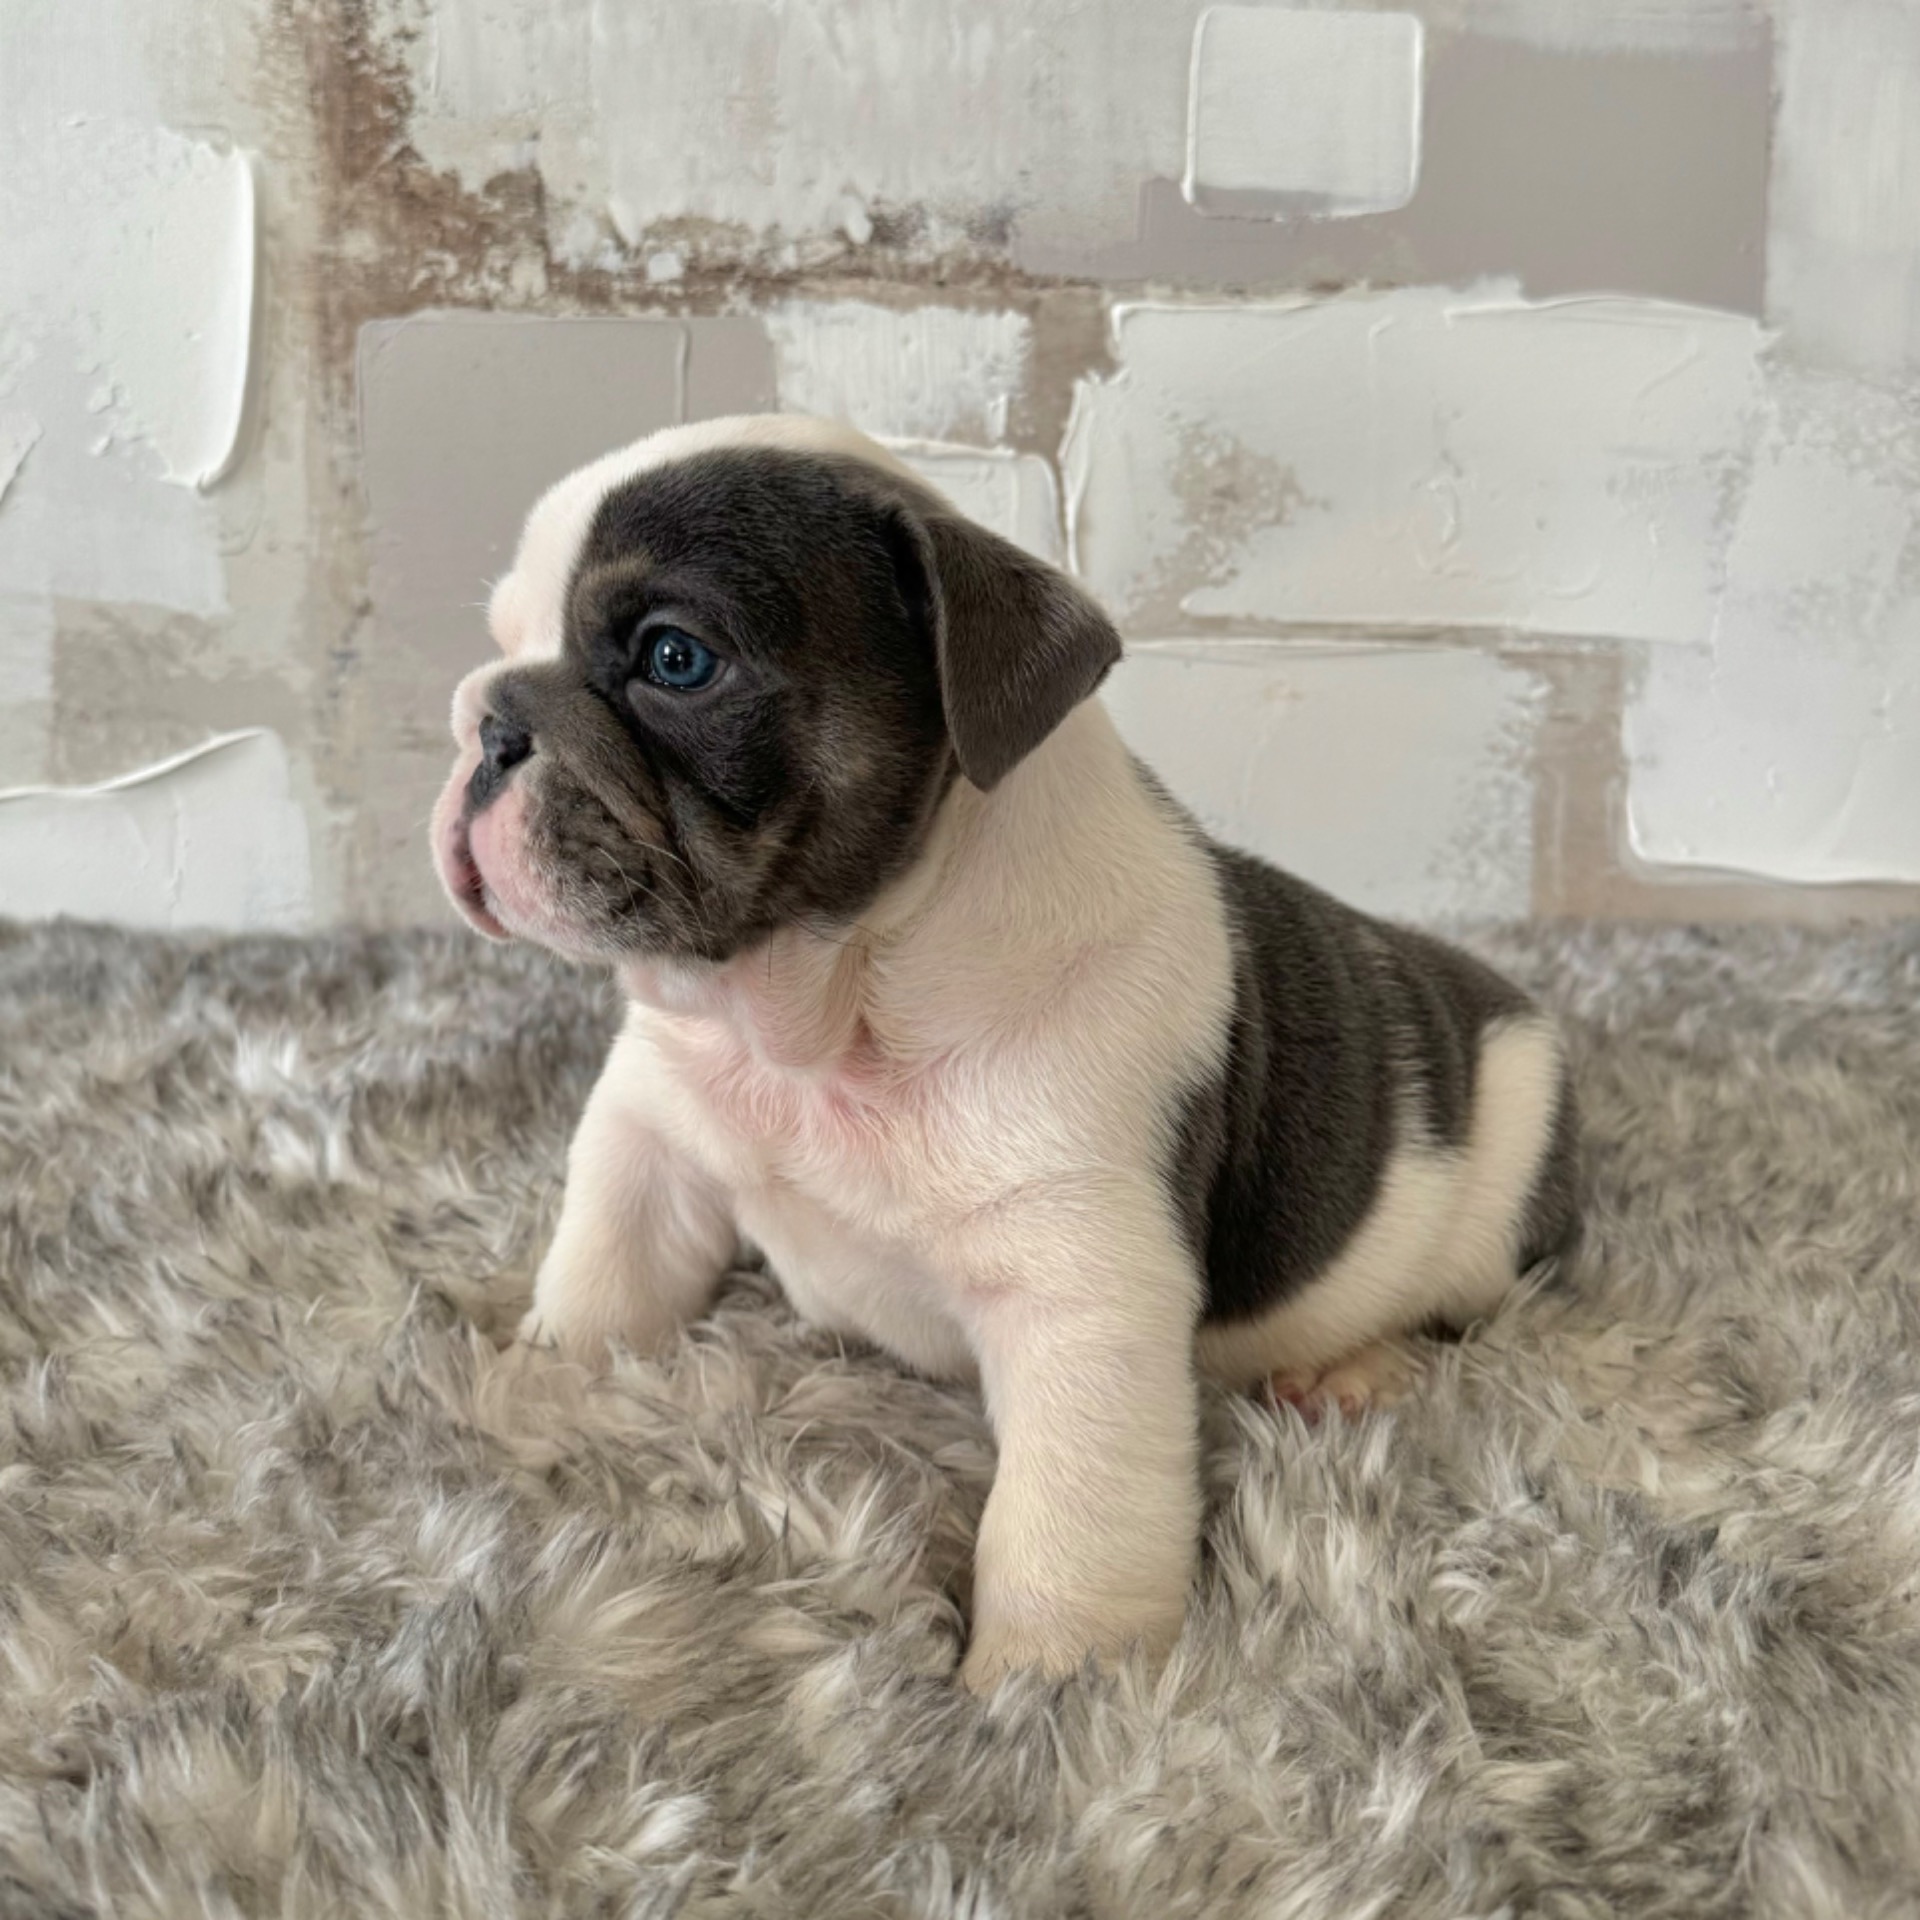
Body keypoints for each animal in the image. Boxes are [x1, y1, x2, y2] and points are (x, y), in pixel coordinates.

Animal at [431, 415, 1579, 1691]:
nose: (487, 719)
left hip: (1501, 1188)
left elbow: (1066, 1515)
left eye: (675, 660)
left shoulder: (1083, 1300)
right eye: (505, 642)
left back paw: (1355, 1373)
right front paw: (547, 1378)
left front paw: (1053, 1688)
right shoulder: (652, 1131)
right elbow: (605, 1273)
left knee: (1465, 1314)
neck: (832, 1010)